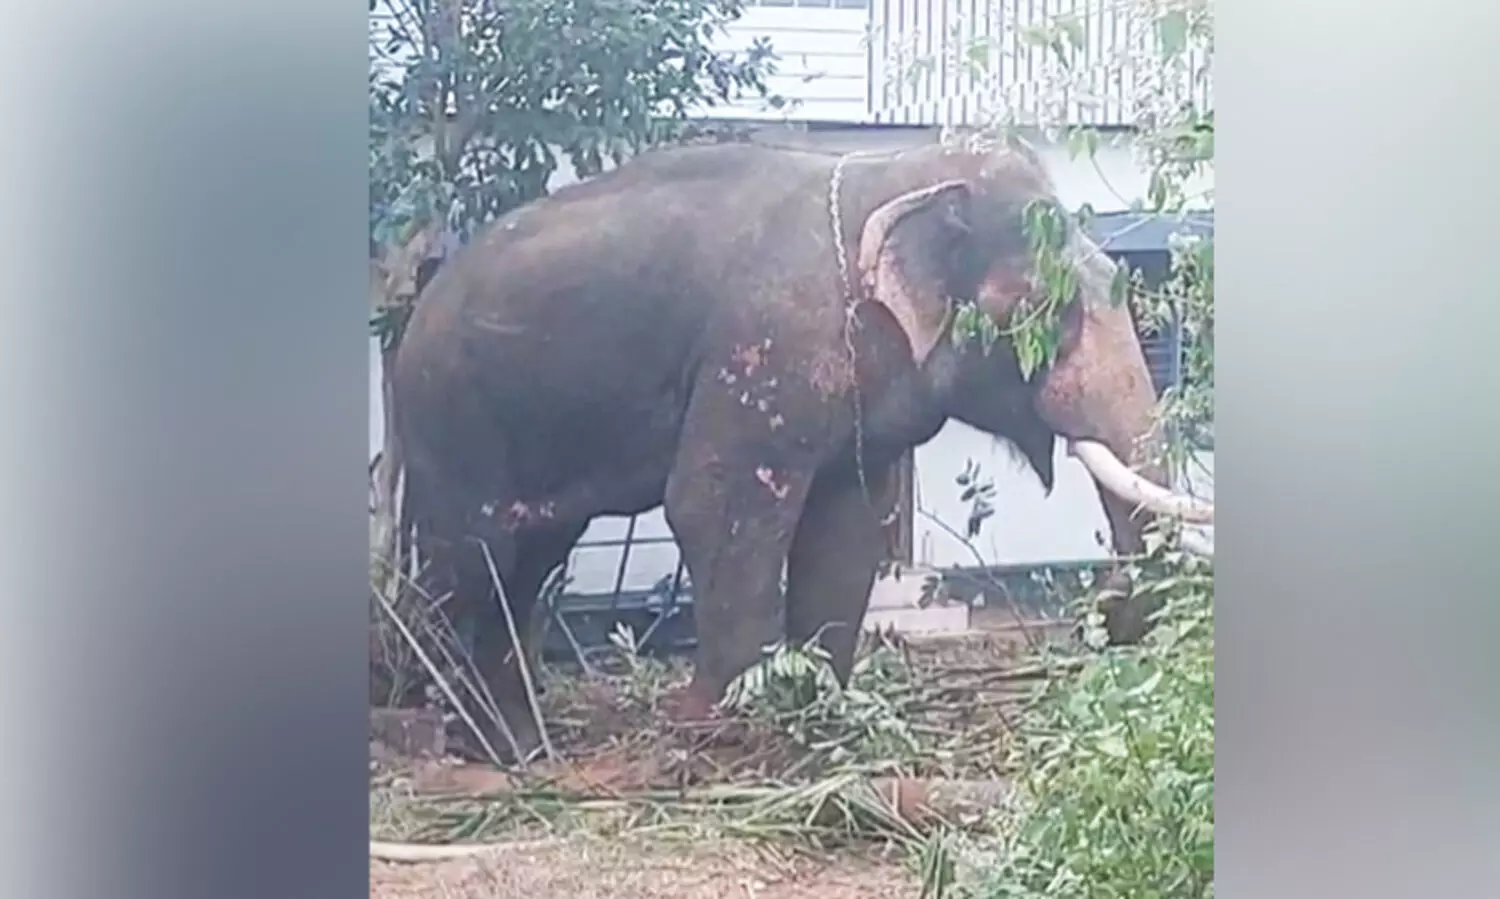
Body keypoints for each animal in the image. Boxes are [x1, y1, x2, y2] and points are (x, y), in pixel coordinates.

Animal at [389, 138, 1214, 760]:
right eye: (1043, 310)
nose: (1101, 608)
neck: (901, 173)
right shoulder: (767, 346)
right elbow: (713, 504)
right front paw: (720, 732)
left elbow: (845, 529)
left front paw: (821, 721)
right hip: (449, 413)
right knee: (472, 558)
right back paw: (458, 738)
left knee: (529, 559)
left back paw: (519, 745)